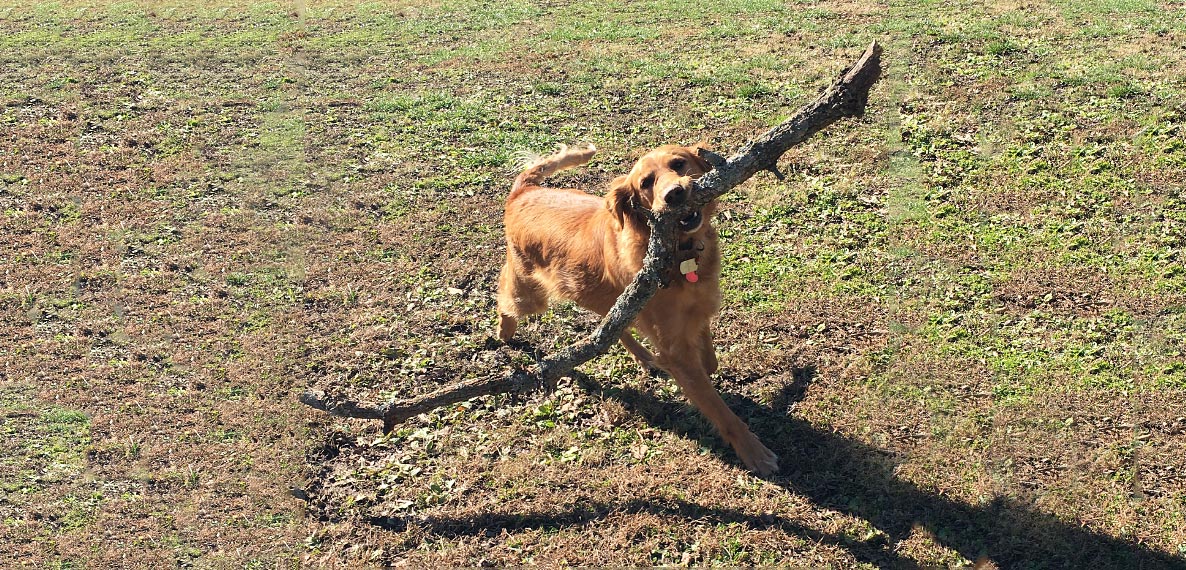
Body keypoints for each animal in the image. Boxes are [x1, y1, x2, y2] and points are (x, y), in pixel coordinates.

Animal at [498, 142, 782, 476]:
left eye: (679, 164)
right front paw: (754, 452)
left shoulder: (698, 310)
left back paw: (643, 356)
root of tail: (523, 192)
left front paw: (705, 363)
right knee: (504, 290)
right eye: (646, 183)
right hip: (530, 295)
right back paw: (504, 332)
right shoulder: (675, 351)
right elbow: (719, 408)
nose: (675, 194)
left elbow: (708, 358)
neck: (680, 254)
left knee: (610, 328)